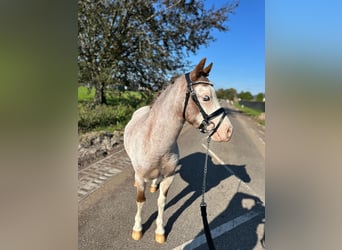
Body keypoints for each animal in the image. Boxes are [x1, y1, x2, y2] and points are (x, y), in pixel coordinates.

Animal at [124, 57, 234, 243]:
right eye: (206, 97)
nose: (228, 131)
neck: (155, 143)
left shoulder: (169, 177)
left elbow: (161, 202)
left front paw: (160, 231)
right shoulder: (140, 177)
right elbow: (140, 201)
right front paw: (137, 229)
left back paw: (153, 185)